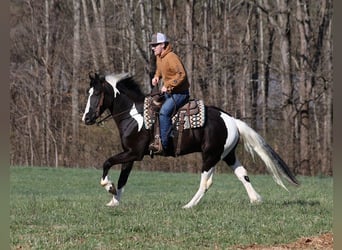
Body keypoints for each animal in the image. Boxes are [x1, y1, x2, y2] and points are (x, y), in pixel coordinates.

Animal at [81, 71, 298, 208]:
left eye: (97, 93)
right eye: (88, 93)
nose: (86, 118)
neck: (135, 116)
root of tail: (231, 120)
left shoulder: (133, 153)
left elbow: (107, 162)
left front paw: (108, 187)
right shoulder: (130, 155)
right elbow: (123, 178)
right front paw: (114, 201)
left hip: (210, 156)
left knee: (205, 183)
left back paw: (189, 205)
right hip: (227, 155)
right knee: (242, 174)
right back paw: (256, 199)